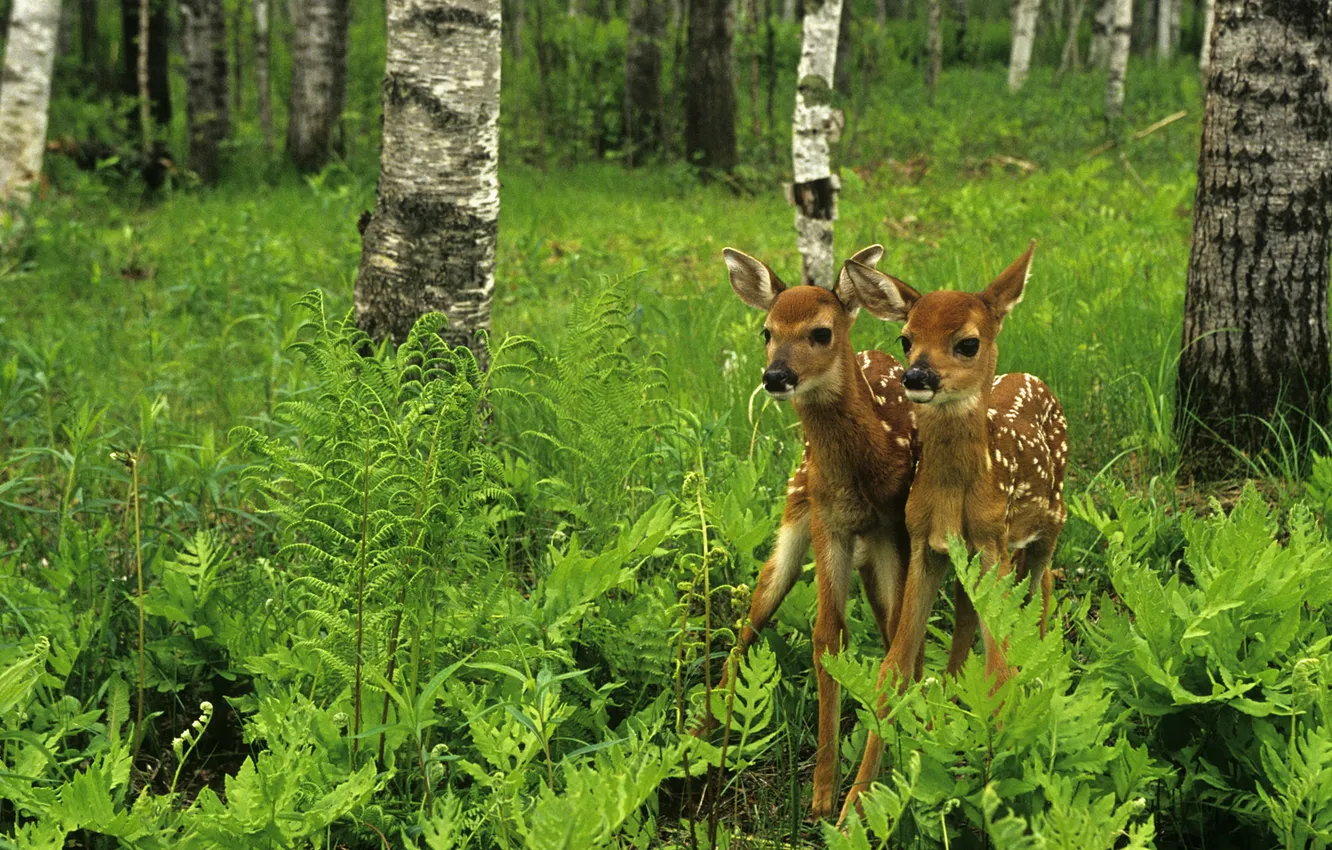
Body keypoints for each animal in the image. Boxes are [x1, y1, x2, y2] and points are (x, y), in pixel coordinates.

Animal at [698, 244, 970, 820]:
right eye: (766, 331)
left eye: (820, 332)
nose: (775, 376)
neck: (862, 471)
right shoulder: (828, 521)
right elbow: (828, 634)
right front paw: (822, 792)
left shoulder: (893, 529)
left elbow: (897, 637)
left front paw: (881, 765)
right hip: (796, 508)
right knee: (755, 610)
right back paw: (698, 731)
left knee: (890, 628)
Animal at [833, 241, 1068, 823]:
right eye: (905, 337)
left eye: (967, 342)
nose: (916, 376)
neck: (957, 495)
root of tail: (1033, 379)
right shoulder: (927, 546)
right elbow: (894, 668)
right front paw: (853, 807)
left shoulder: (992, 542)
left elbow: (1001, 668)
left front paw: (1003, 788)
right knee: (971, 623)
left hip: (1050, 521)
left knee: (1044, 586)